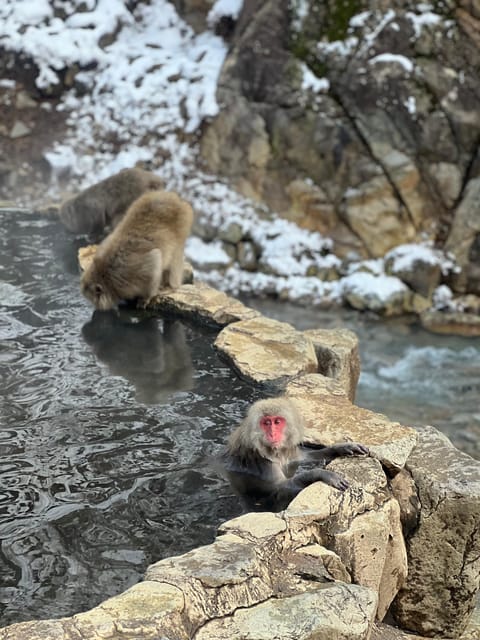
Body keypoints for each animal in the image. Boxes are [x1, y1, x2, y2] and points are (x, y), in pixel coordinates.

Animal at [223, 397, 369, 511]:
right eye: (266, 423)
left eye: (277, 422)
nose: (272, 434)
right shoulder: (261, 461)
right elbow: (279, 489)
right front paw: (321, 473)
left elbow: (305, 458)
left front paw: (343, 447)